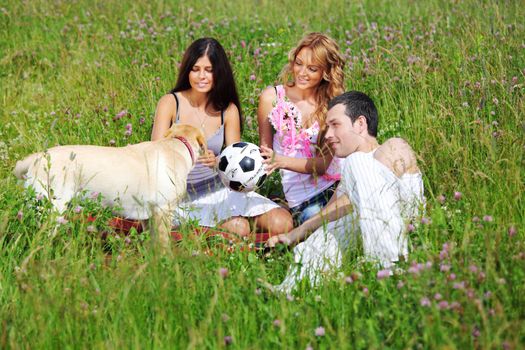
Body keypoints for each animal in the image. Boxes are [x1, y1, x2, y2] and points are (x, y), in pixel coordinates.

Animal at [13, 123, 206, 249]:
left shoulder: (148, 216)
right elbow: (164, 244)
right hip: (52, 209)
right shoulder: (163, 210)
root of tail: (39, 157)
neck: (176, 145)